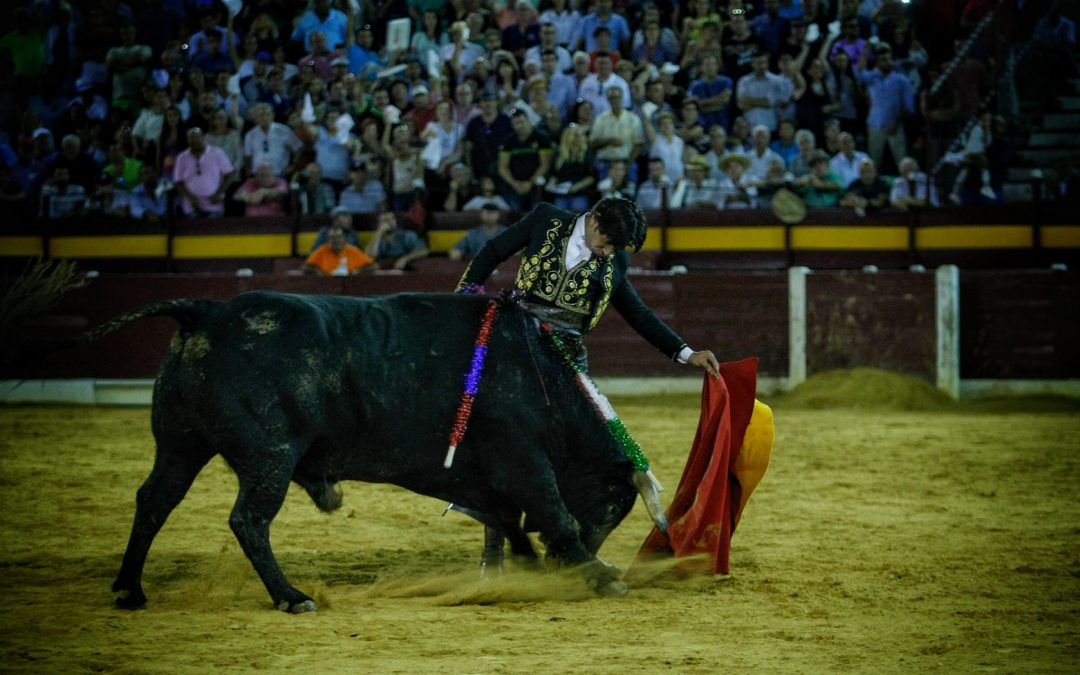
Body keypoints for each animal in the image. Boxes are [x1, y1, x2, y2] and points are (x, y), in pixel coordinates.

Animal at [90, 289, 665, 609]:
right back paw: (292, 598)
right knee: (248, 520)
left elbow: (510, 525)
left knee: (154, 501)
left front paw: (529, 570)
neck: (543, 379)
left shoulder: (491, 483)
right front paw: (601, 577)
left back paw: (129, 590)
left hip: (180, 444)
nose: (572, 562)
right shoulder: (524, 463)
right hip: (268, 456)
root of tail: (206, 311)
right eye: (615, 505)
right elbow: (554, 515)